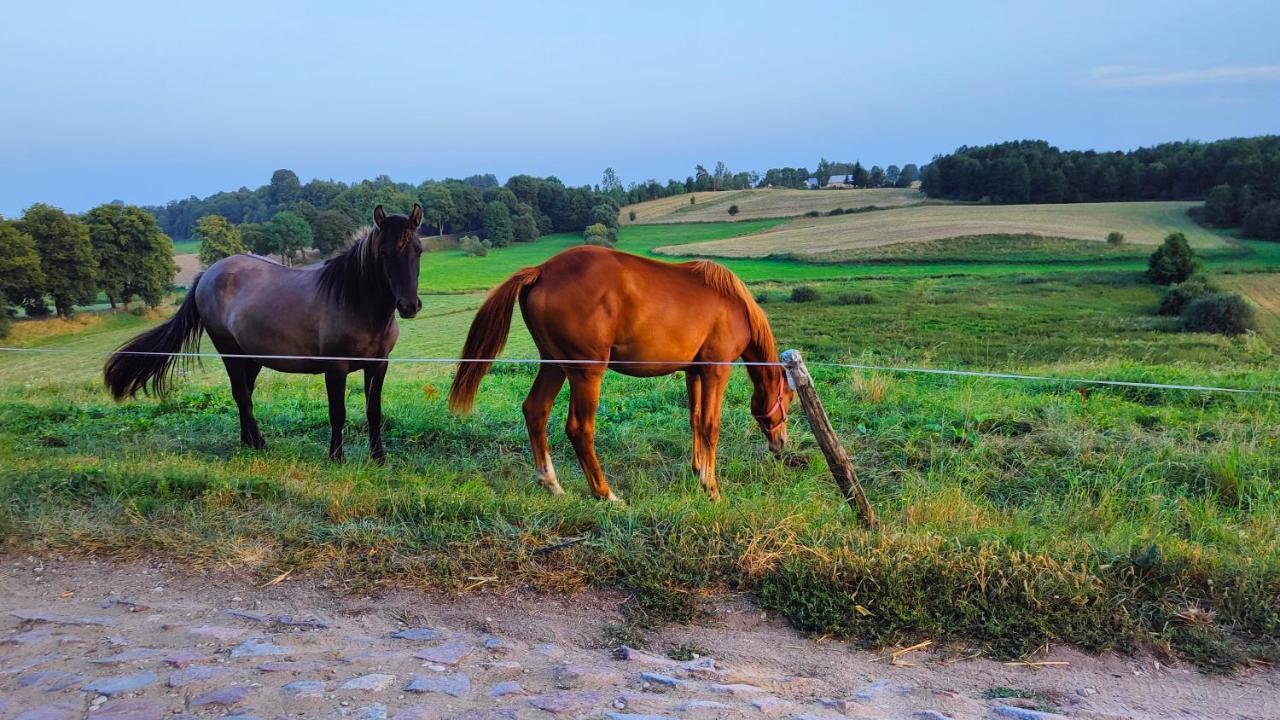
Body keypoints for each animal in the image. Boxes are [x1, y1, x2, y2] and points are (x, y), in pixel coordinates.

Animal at [104, 203, 424, 458]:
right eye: (383, 252)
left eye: (417, 250)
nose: (409, 306)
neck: (354, 301)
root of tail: (207, 274)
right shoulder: (336, 368)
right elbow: (337, 413)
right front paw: (336, 458)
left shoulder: (378, 365)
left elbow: (374, 412)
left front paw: (378, 458)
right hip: (229, 352)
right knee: (241, 394)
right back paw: (257, 443)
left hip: (251, 357)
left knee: (244, 393)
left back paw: (249, 440)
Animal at [448, 242, 788, 499]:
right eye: (788, 398)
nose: (781, 444)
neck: (735, 305)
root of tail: (542, 271)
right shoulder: (716, 369)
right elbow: (710, 425)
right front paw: (711, 487)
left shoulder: (694, 371)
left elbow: (693, 419)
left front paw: (697, 470)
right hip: (586, 372)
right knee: (579, 429)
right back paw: (605, 493)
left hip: (554, 365)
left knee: (536, 410)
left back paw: (552, 483)